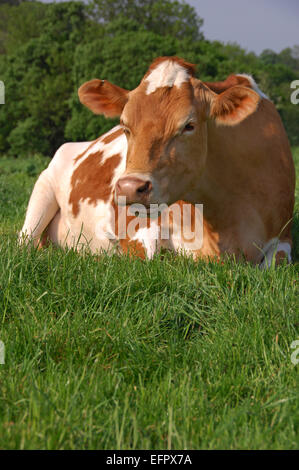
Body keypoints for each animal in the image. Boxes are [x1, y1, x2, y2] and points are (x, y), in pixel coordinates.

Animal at [19, 56, 296, 264]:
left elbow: (277, 261)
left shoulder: (284, 238)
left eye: (189, 125)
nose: (129, 187)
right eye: (125, 125)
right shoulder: (135, 230)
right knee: (25, 243)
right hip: (42, 190)